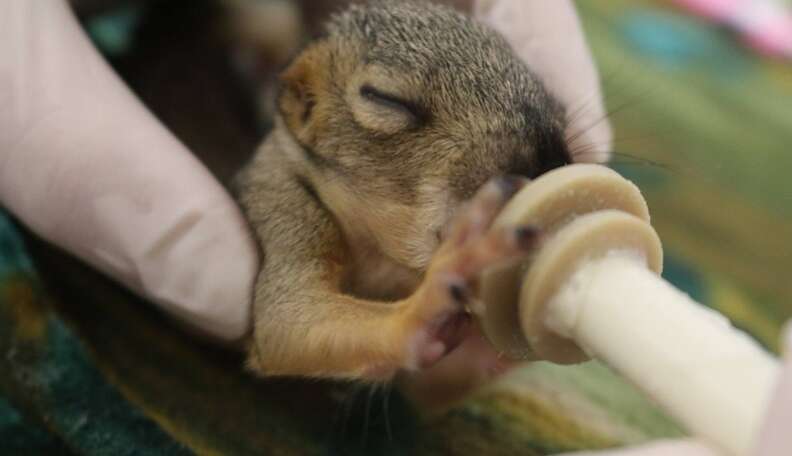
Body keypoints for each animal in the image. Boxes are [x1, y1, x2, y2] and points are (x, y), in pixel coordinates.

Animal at [232, 0, 572, 384]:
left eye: (561, 111)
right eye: (385, 99)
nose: (549, 162)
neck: (384, 260)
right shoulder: (280, 201)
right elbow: (289, 319)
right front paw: (441, 287)